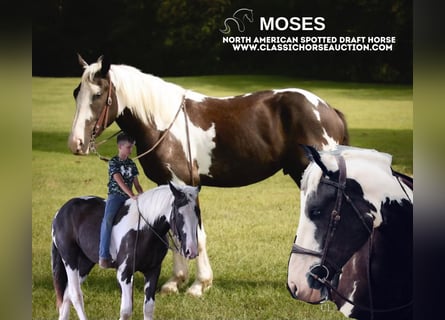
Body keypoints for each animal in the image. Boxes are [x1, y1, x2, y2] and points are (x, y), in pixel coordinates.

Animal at [50, 182, 201, 320]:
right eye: (179, 214)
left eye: (197, 212)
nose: (191, 250)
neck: (145, 229)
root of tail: (60, 212)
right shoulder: (124, 274)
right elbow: (126, 311)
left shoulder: (153, 272)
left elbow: (148, 308)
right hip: (69, 259)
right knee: (75, 294)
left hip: (85, 263)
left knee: (66, 294)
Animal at [67, 55, 348, 298]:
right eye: (75, 93)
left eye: (98, 94)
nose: (76, 143)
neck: (163, 123)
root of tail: (328, 109)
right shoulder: (168, 185)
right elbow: (174, 232)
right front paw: (174, 283)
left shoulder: (185, 184)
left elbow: (196, 235)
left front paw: (198, 286)